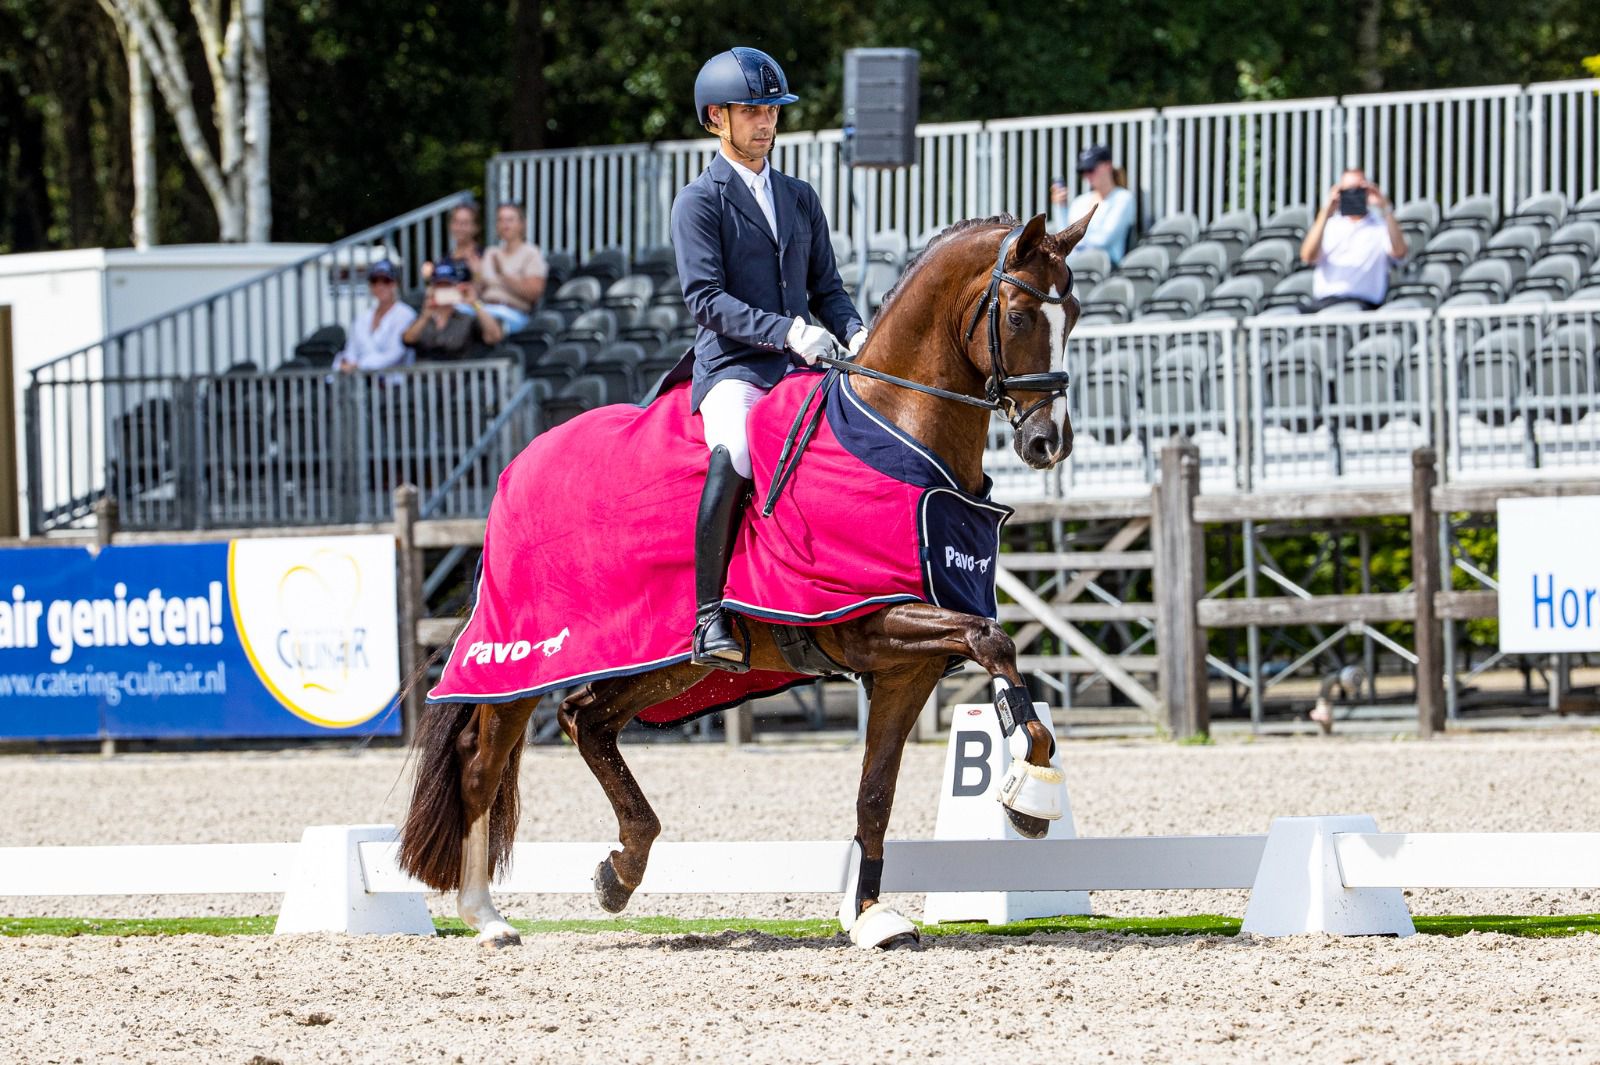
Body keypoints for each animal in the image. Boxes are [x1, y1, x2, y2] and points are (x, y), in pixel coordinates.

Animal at [403, 207, 1100, 946]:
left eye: (1074, 313)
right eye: (1020, 315)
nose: (1049, 443)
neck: (900, 434)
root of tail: (517, 465)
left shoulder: (904, 667)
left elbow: (876, 790)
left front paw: (871, 916)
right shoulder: (870, 619)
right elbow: (993, 639)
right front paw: (1028, 788)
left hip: (665, 664)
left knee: (585, 720)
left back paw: (621, 869)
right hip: (527, 655)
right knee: (483, 762)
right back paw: (487, 917)